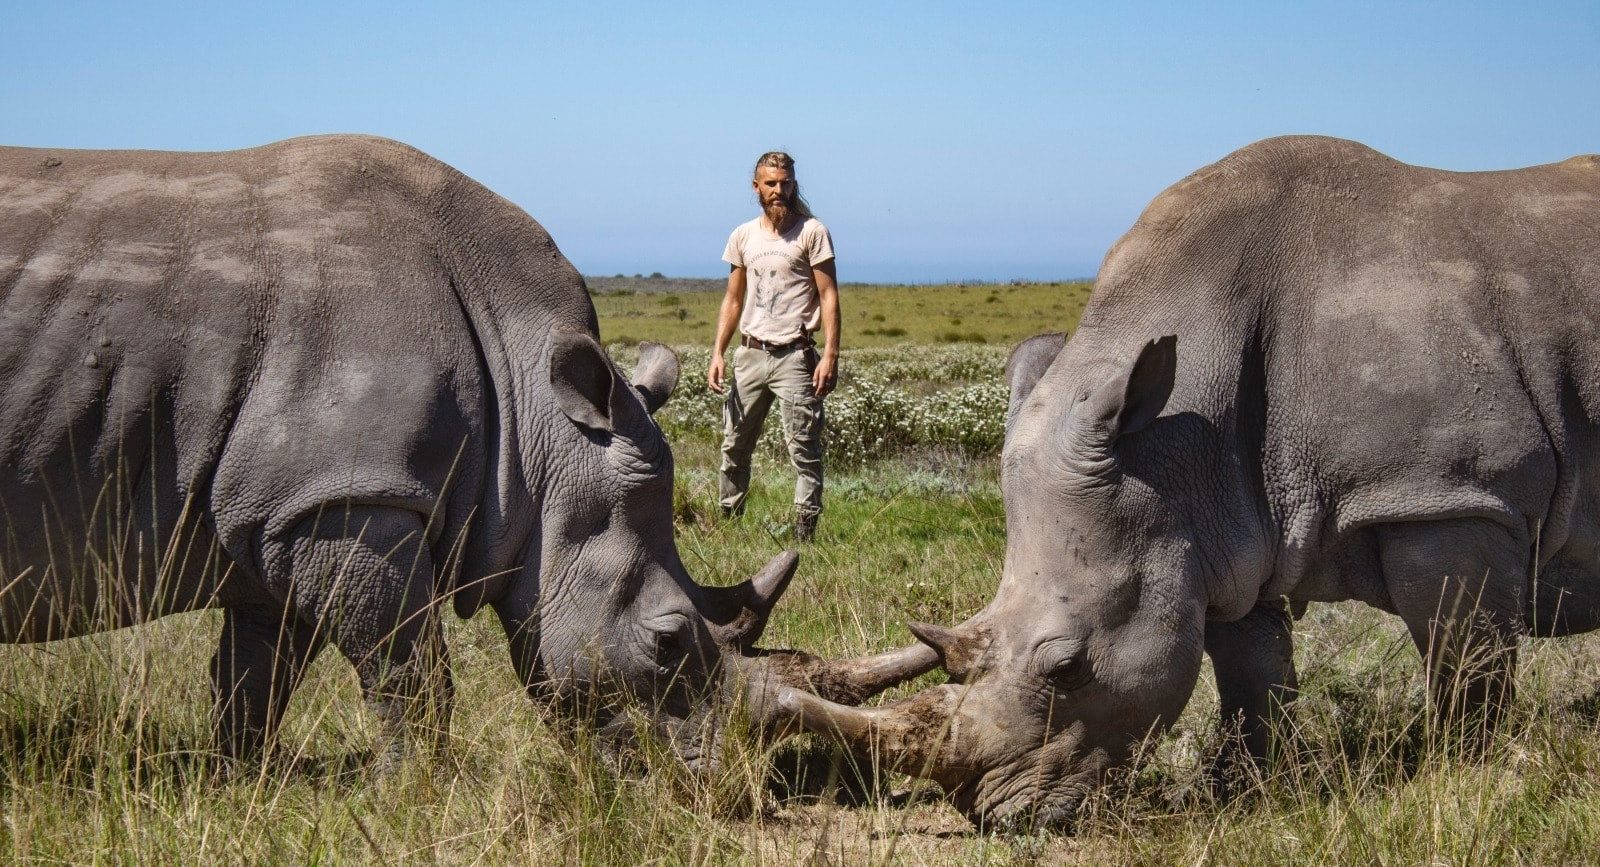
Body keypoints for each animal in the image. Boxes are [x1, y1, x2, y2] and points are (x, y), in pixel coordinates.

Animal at [0, 135, 933, 765]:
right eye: (668, 642)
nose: (713, 781)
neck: (540, 421)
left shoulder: (284, 503)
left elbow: (255, 675)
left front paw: (239, 779)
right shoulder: (353, 497)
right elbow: (409, 673)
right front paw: (414, 790)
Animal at [777, 135, 1600, 829]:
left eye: (1069, 667)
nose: (996, 816)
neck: (1174, 444)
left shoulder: (1449, 493)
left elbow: (1467, 663)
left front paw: (1464, 784)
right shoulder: (1227, 527)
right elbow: (1251, 676)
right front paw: (1240, 791)